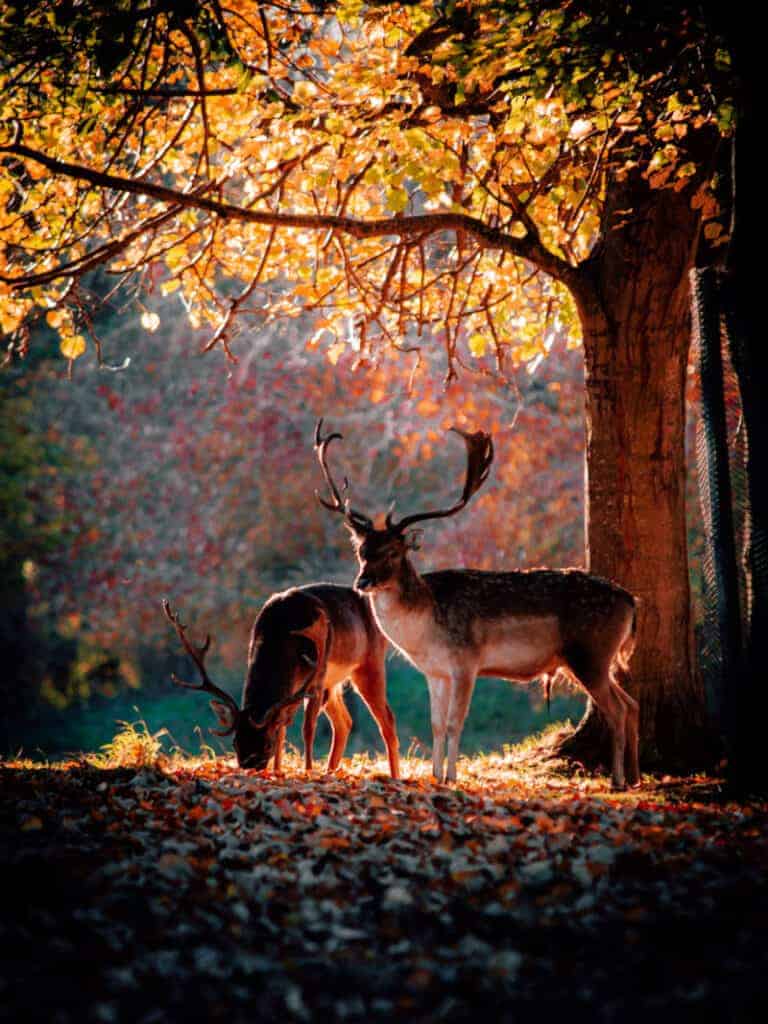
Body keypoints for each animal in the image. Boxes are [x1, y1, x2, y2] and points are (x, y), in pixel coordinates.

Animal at [162, 585, 399, 777]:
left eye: (267, 745)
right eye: (235, 743)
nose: (251, 769)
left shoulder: (316, 676)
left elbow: (307, 729)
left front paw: (307, 772)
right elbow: (283, 728)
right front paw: (279, 771)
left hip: (370, 662)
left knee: (387, 718)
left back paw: (394, 776)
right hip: (333, 684)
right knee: (344, 722)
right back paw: (330, 772)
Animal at [314, 420, 640, 790]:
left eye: (394, 553)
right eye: (362, 551)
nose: (362, 582)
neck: (425, 627)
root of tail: (631, 601)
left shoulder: (466, 662)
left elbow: (455, 722)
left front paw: (451, 777)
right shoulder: (435, 671)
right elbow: (436, 724)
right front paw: (435, 774)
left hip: (590, 654)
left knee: (617, 709)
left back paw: (617, 780)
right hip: (595, 660)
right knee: (631, 703)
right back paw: (634, 776)